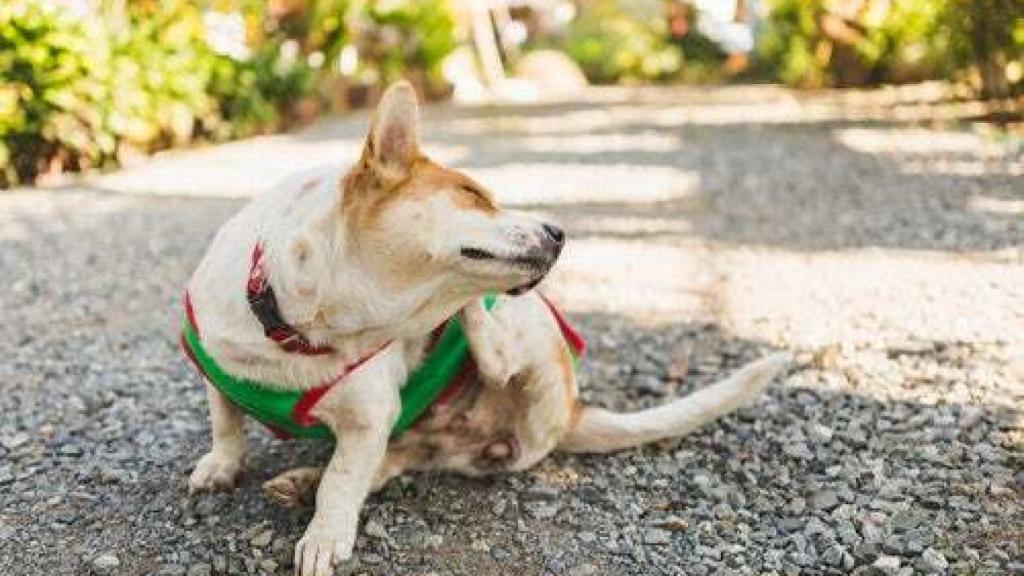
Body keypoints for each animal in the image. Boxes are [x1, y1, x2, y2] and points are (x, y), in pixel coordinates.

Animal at [184, 80, 786, 573]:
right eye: (474, 195)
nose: (560, 232)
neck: (301, 328)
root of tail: (574, 410)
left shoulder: (368, 420)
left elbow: (342, 481)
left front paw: (325, 535)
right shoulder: (220, 371)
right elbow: (227, 423)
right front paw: (223, 467)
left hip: (532, 331)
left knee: (496, 360)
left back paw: (468, 316)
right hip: (423, 429)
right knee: (391, 460)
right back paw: (300, 481)